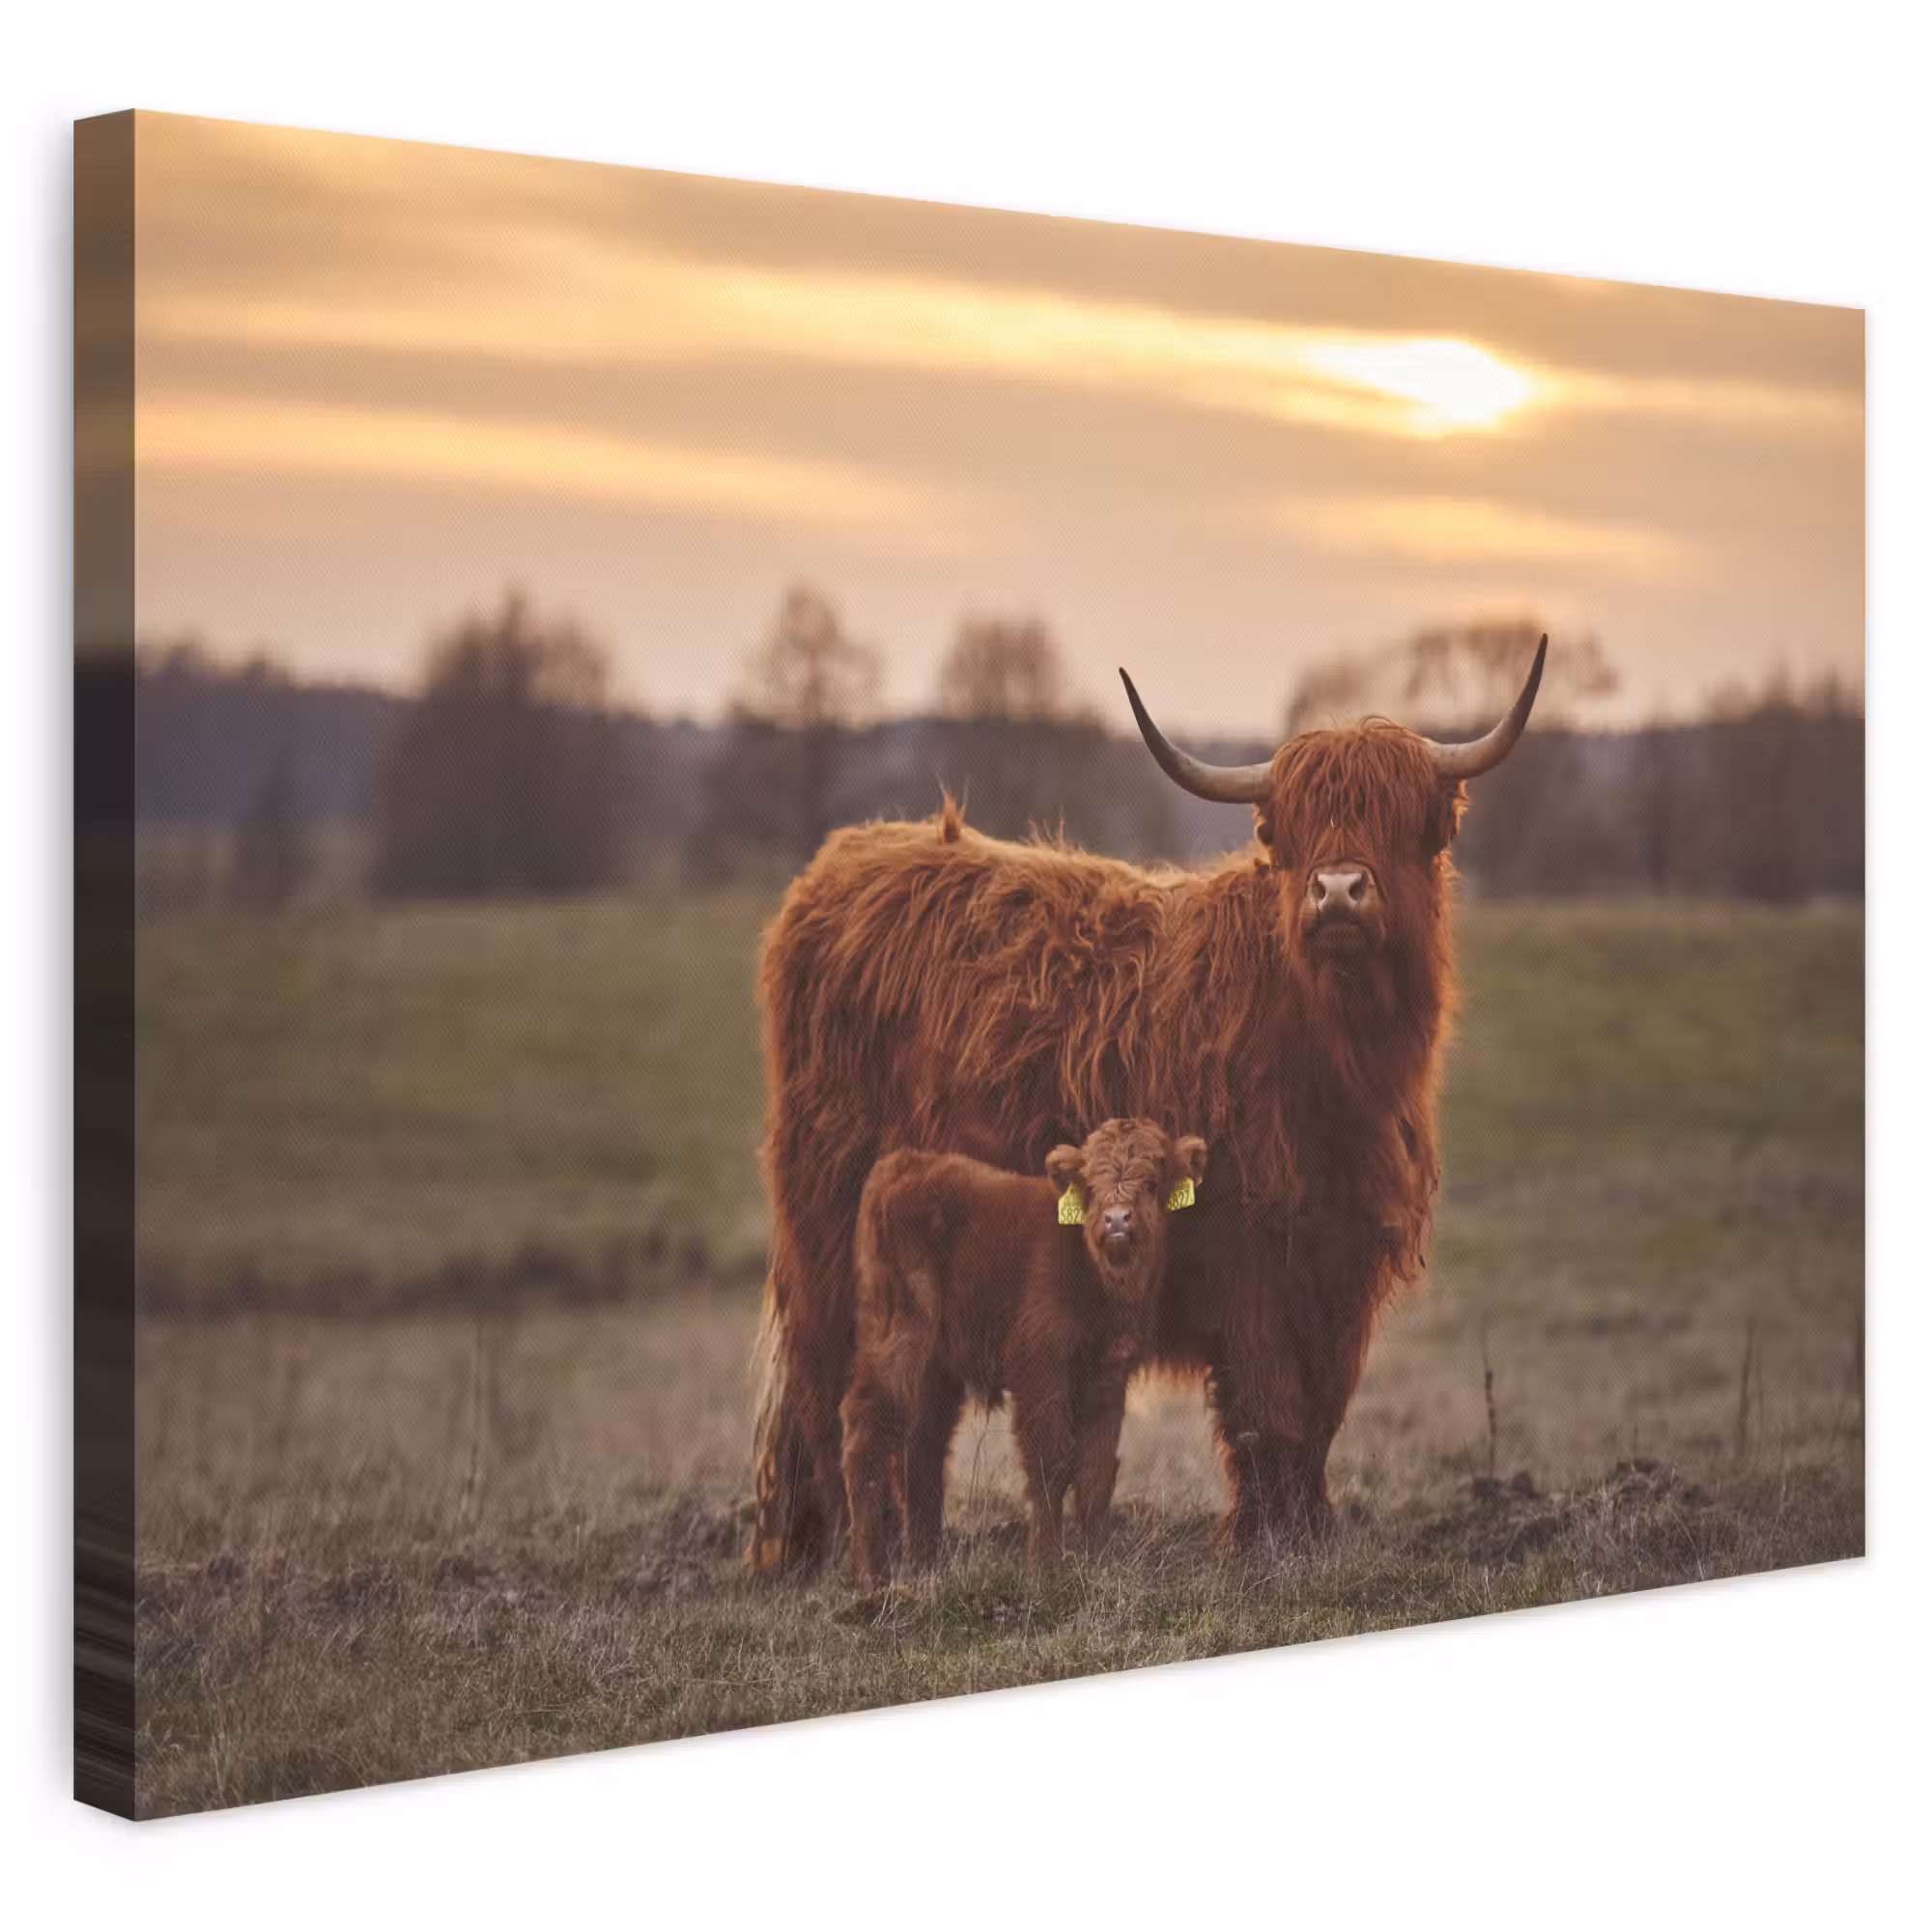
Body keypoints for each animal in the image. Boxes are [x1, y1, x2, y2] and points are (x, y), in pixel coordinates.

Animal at [842, 1120, 1209, 1586]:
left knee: (922, 1449)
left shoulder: (1108, 1378)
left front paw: (1100, 1561)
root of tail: (903, 1165)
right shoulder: (1041, 1368)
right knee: (866, 1433)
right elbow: (1051, 1461)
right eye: (1090, 1186)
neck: (1097, 1277)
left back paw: (927, 1566)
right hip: (898, 1338)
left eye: (1151, 1182)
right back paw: (871, 1575)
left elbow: (1096, 1472)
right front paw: (1046, 1563)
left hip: (934, 1370)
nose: (1116, 1220)